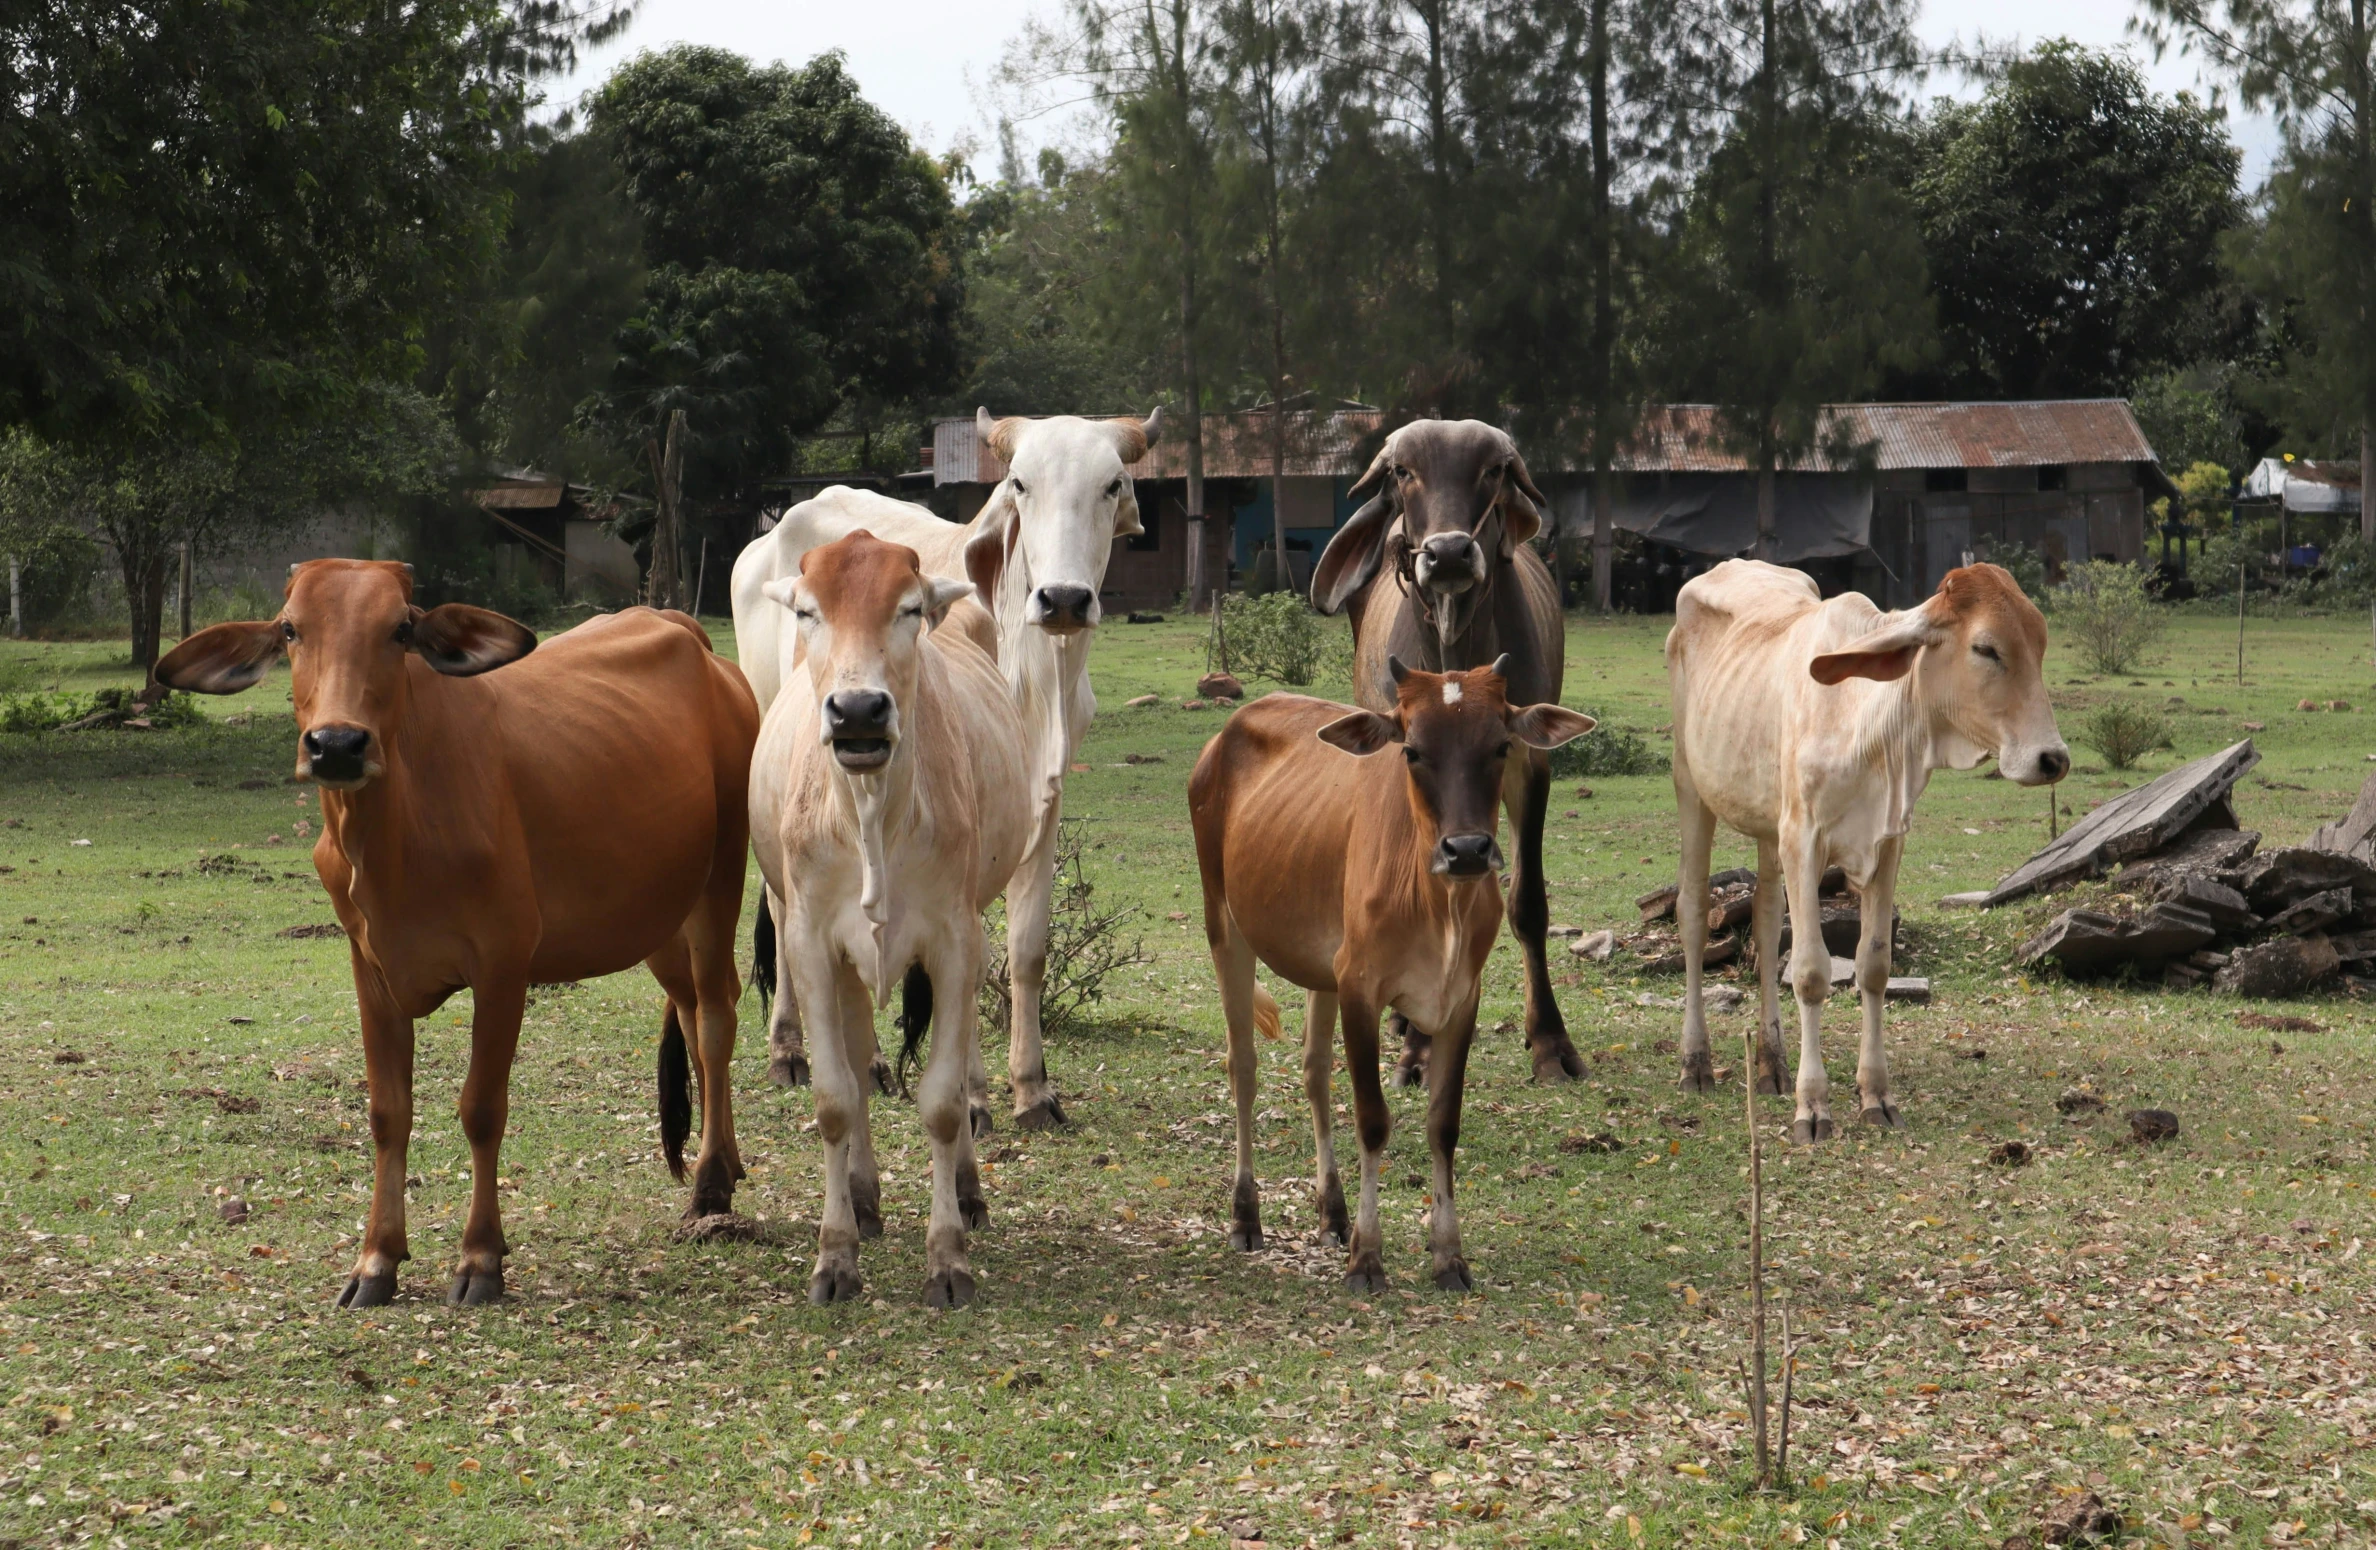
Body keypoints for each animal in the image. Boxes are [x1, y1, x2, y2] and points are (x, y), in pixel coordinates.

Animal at [160, 563, 750, 1302]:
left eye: (400, 629)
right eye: (291, 629)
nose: (336, 745)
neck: (394, 837)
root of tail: (692, 639)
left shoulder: (502, 966)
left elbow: (481, 1108)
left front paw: (479, 1258)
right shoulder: (370, 968)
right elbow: (388, 1111)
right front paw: (376, 1259)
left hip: (721, 880)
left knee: (718, 1018)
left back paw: (710, 1186)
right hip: (659, 918)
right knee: (694, 1019)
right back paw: (723, 1162)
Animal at [731, 401, 1159, 1126]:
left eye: (1112, 485)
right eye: (1019, 483)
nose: (1063, 599)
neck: (1034, 669)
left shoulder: (1042, 799)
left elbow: (1026, 947)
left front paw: (1032, 1087)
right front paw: (976, 1092)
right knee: (784, 909)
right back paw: (794, 1049)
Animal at [750, 532, 1031, 1312]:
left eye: (909, 609)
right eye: (809, 612)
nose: (857, 711)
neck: (874, 806)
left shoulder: (956, 940)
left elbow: (941, 1102)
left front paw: (948, 1257)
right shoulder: (813, 944)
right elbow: (835, 1097)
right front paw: (835, 1254)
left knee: (959, 1073)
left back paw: (965, 1190)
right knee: (855, 1060)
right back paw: (864, 1194)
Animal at [1188, 660, 1596, 1293]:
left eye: (1501, 745)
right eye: (1412, 750)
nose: (1467, 849)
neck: (1437, 905)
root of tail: (1223, 737)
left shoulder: (1461, 998)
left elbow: (1443, 1123)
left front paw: (1448, 1256)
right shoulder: (1360, 986)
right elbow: (1373, 1121)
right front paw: (1367, 1258)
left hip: (1320, 967)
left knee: (1314, 1071)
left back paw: (1332, 1214)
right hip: (1224, 924)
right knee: (1244, 1068)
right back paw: (1245, 1216)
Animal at [1672, 561, 2062, 1136]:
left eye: (2040, 643)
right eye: (1986, 648)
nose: (2053, 758)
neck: (1866, 722)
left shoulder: (1886, 843)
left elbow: (1873, 966)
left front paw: (1875, 1095)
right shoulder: (1803, 838)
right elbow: (1811, 972)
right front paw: (1813, 1106)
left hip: (1768, 825)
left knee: (1764, 921)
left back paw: (1772, 1064)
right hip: (1691, 788)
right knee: (1695, 912)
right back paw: (1695, 1063)